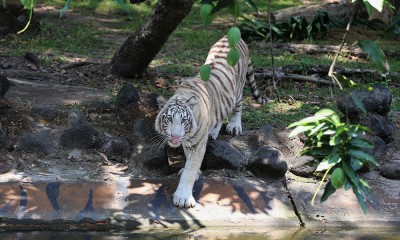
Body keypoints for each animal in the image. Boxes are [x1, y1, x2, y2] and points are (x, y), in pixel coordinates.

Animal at [155, 36, 268, 208]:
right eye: (169, 118)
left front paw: (183, 198)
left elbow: (190, 169)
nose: (175, 137)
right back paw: (213, 132)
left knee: (238, 107)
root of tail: (238, 38)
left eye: (184, 120)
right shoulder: (189, 142)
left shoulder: (196, 144)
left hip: (237, 91)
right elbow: (189, 160)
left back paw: (235, 126)